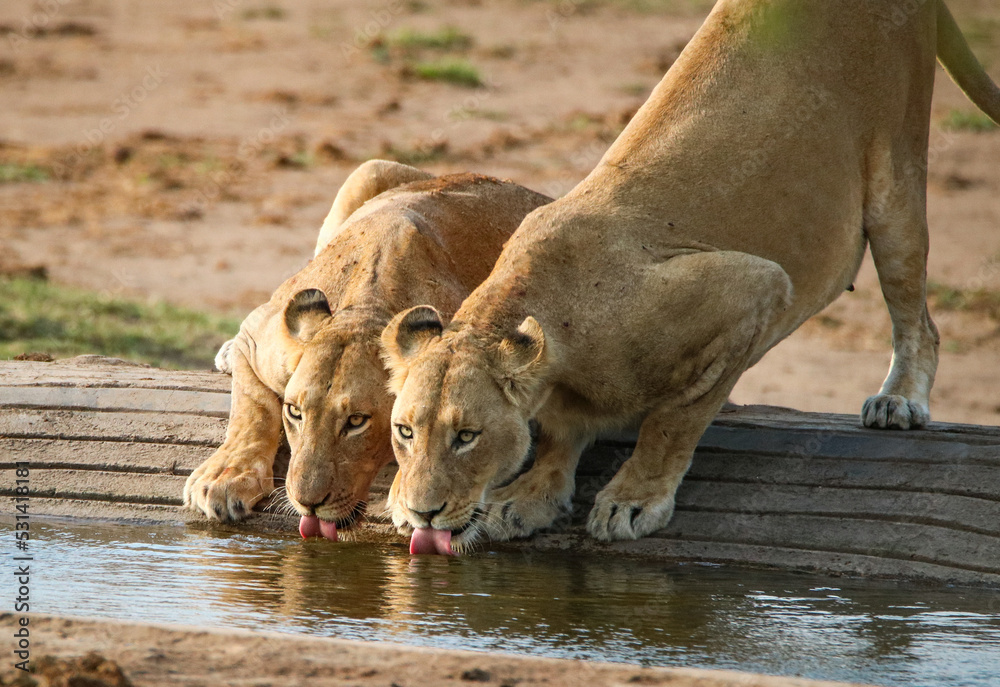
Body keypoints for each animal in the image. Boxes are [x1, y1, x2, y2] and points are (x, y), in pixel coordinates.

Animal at [183, 160, 551, 540]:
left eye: (357, 421)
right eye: (295, 412)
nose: (307, 503)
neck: (365, 304)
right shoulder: (255, 338)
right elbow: (251, 410)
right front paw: (224, 478)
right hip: (369, 170)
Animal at [380, 0, 1000, 554]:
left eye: (467, 437)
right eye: (405, 431)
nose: (420, 513)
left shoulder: (755, 287)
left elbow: (673, 420)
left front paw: (633, 501)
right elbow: (560, 435)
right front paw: (530, 497)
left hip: (896, 176)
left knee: (918, 315)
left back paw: (899, 401)